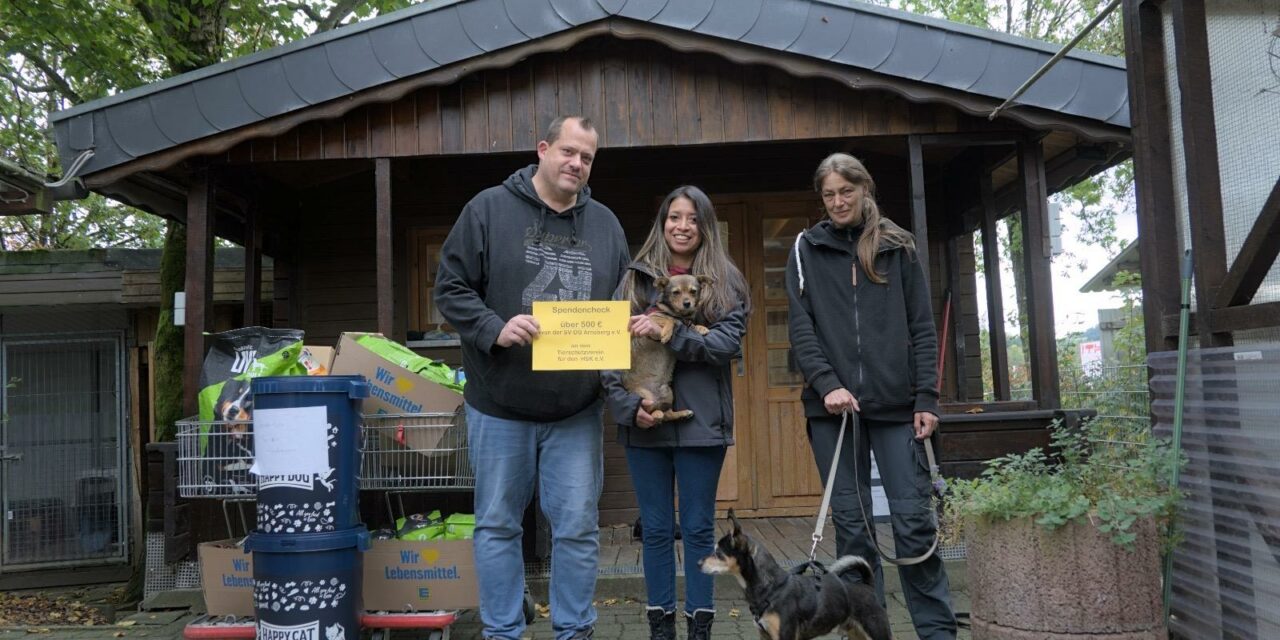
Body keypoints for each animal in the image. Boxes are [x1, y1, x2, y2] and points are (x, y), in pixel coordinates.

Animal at [619, 273, 711, 427]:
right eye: (676, 292)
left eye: (693, 291)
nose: (687, 303)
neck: (678, 314)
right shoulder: (651, 320)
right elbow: (671, 321)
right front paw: (666, 333)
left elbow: (688, 325)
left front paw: (700, 328)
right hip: (645, 397)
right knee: (651, 415)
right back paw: (657, 413)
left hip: (667, 392)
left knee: (666, 415)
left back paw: (682, 413)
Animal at [701, 509, 890, 640]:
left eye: (718, 553)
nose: (698, 563)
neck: (771, 588)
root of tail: (867, 586)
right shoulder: (765, 635)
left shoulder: (785, 635)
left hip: (876, 630)